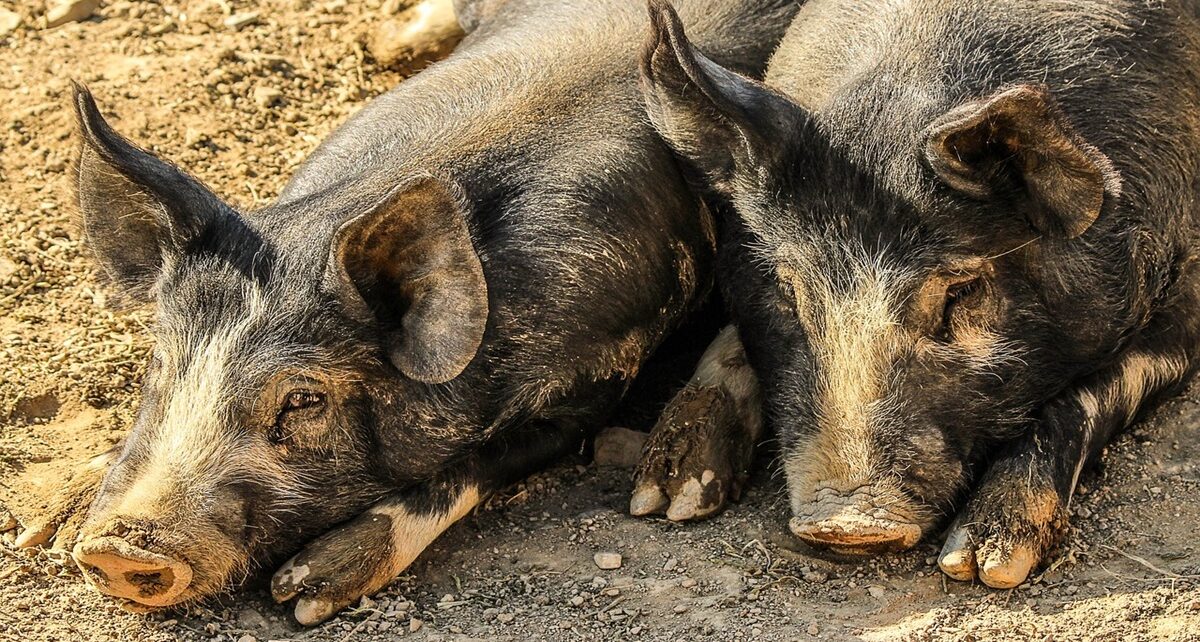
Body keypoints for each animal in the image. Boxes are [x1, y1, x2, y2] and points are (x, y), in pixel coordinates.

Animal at [12, 0, 801, 624]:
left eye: (304, 399)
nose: (116, 547)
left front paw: (304, 592)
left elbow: (464, 472)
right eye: (160, 362)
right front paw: (48, 529)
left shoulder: (597, 372)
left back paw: (674, 494)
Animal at [635, 0, 1200, 589]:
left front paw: (984, 564)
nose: (846, 524)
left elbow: (1087, 395)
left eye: (959, 292)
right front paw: (665, 498)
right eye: (788, 287)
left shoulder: (1184, 297)